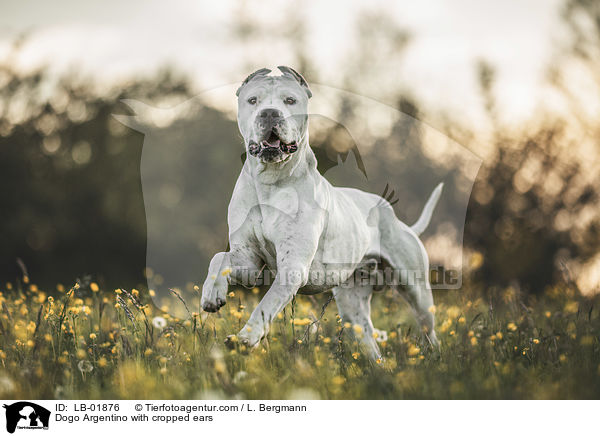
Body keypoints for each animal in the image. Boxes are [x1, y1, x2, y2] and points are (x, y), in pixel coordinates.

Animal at [202, 67, 440, 362]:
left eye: (290, 100)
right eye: (253, 100)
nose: (269, 113)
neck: (270, 182)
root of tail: (398, 220)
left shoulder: (292, 268)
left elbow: (266, 304)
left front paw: (246, 337)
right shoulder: (248, 263)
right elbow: (218, 259)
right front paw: (211, 294)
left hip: (417, 292)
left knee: (430, 332)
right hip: (352, 308)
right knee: (371, 345)